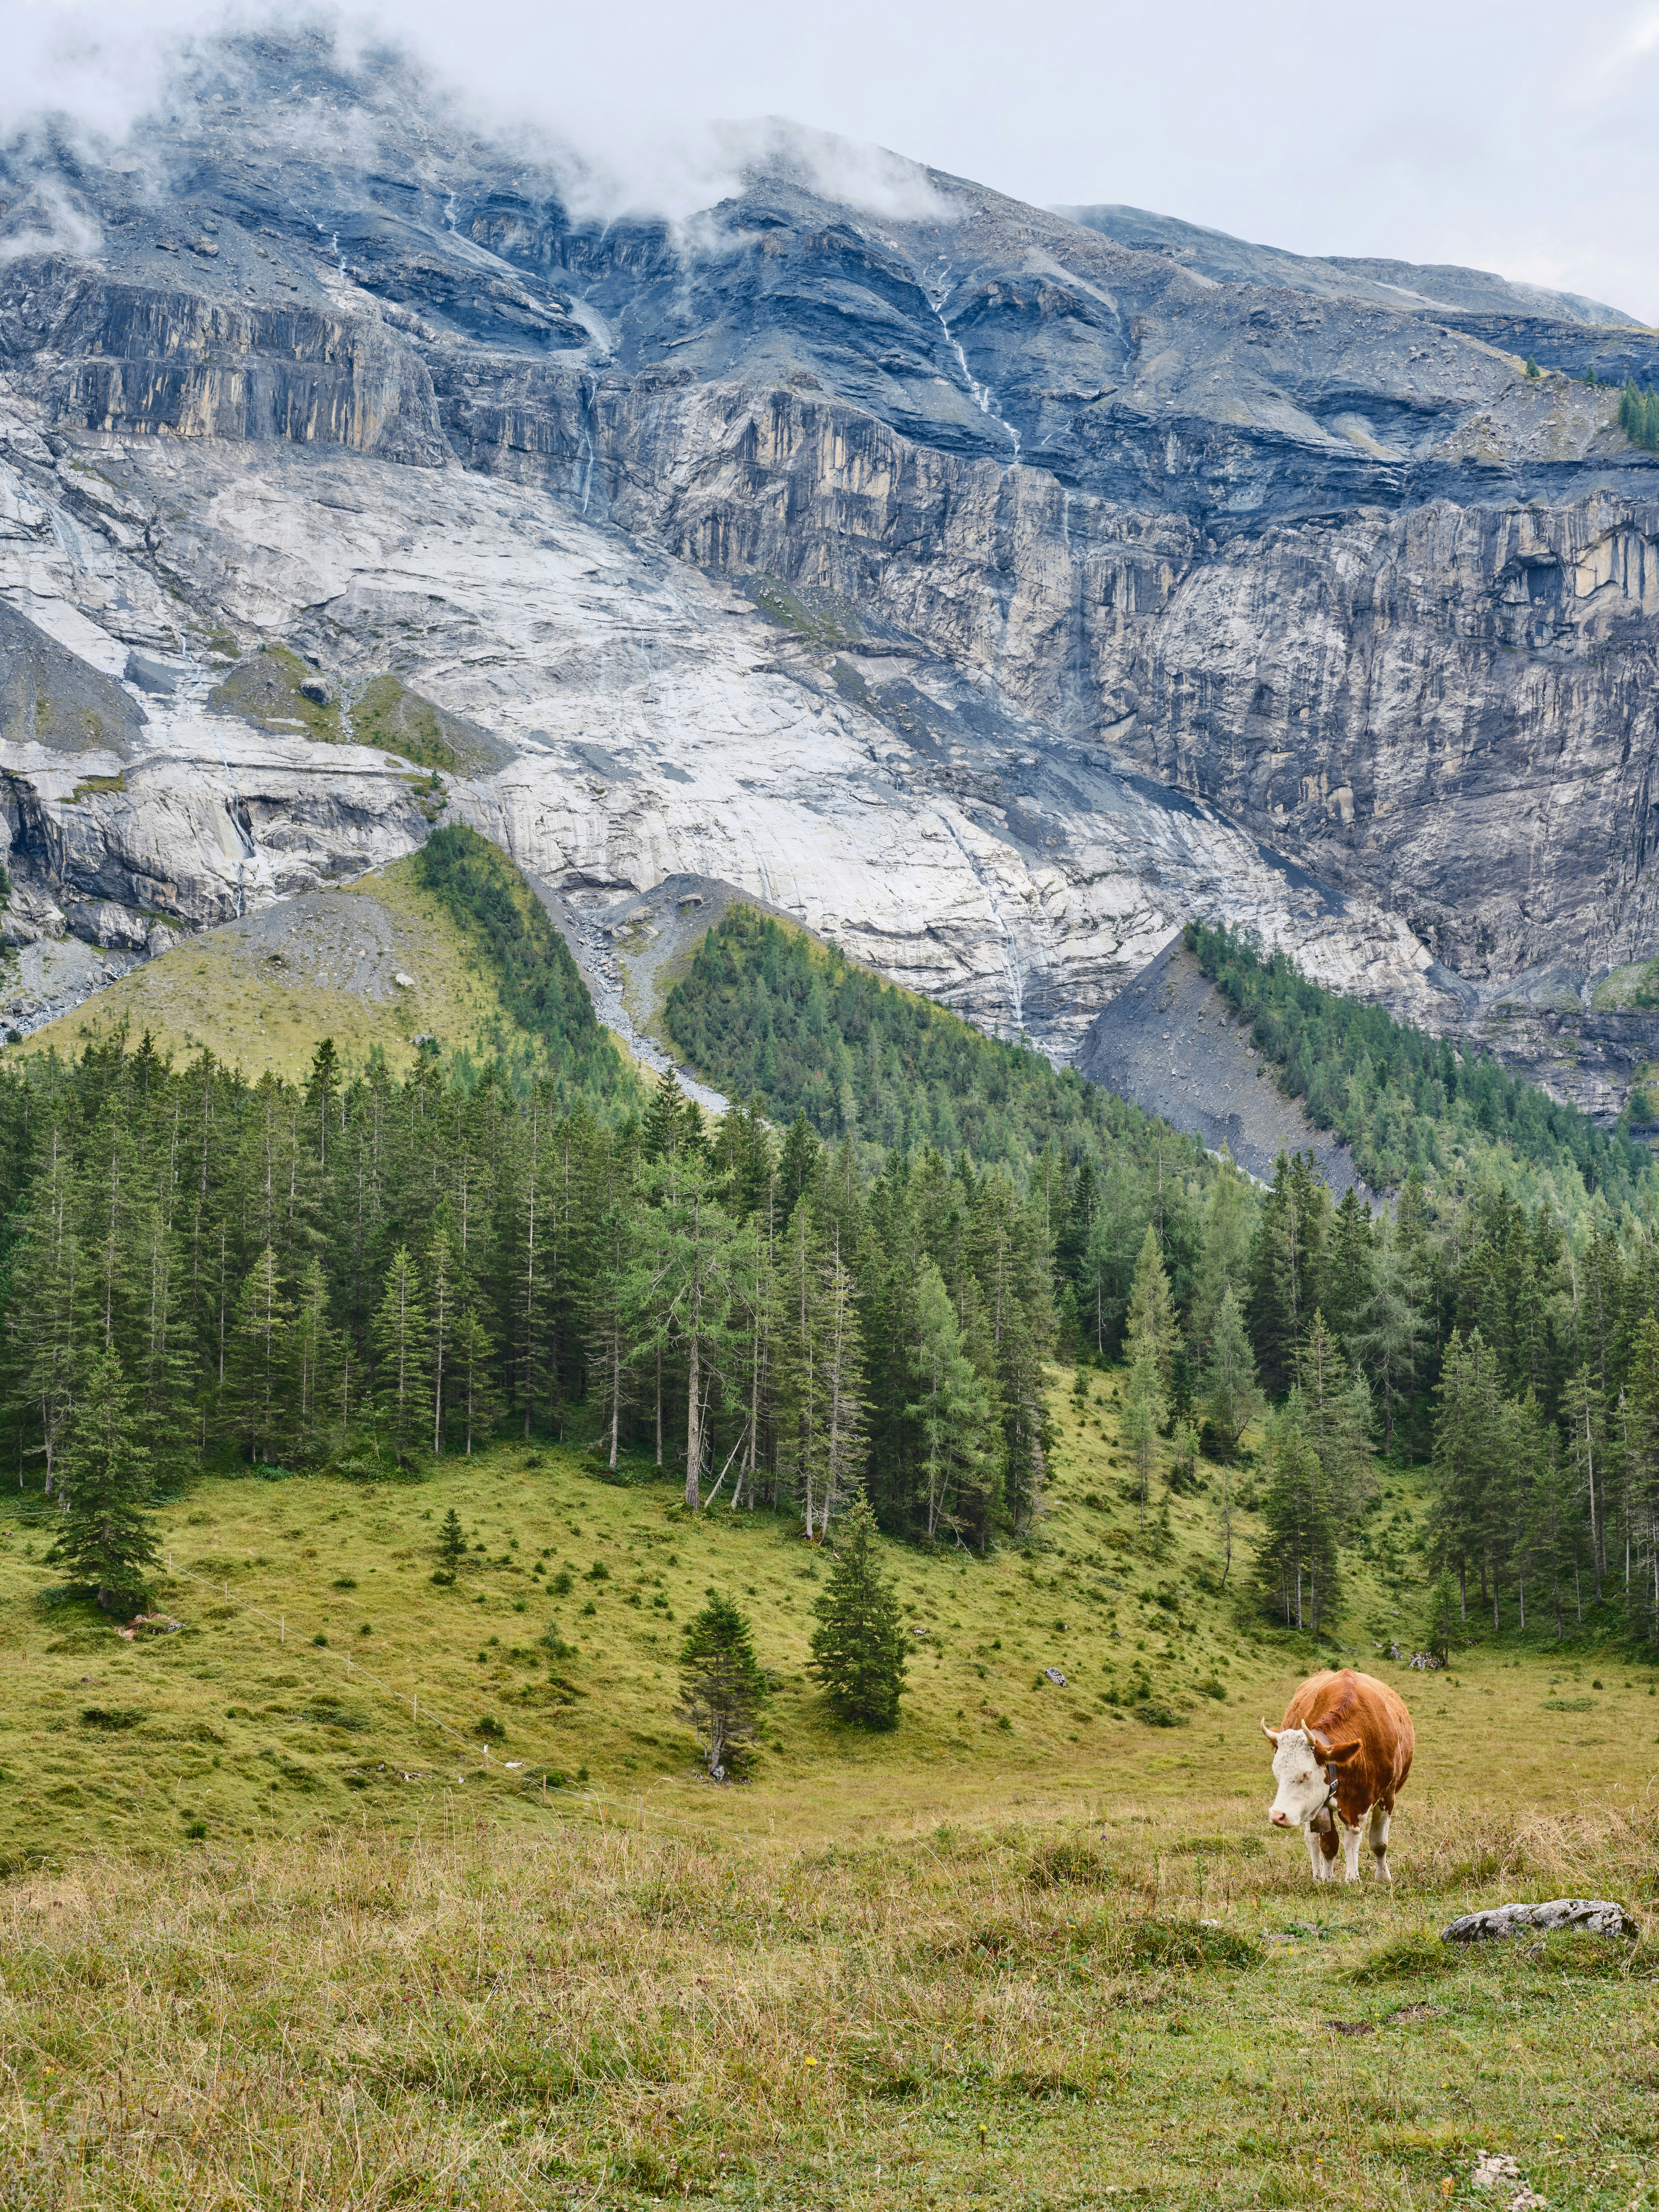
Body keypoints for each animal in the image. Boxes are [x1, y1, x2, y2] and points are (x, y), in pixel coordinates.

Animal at [1261, 1669, 1414, 1884]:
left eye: (1307, 1774)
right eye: (1277, 1773)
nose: (1277, 1816)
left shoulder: (1387, 1796)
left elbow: (1378, 1843)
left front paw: (1378, 1878)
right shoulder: (1324, 1805)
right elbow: (1329, 1844)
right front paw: (1328, 1879)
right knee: (1312, 1839)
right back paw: (1317, 1876)